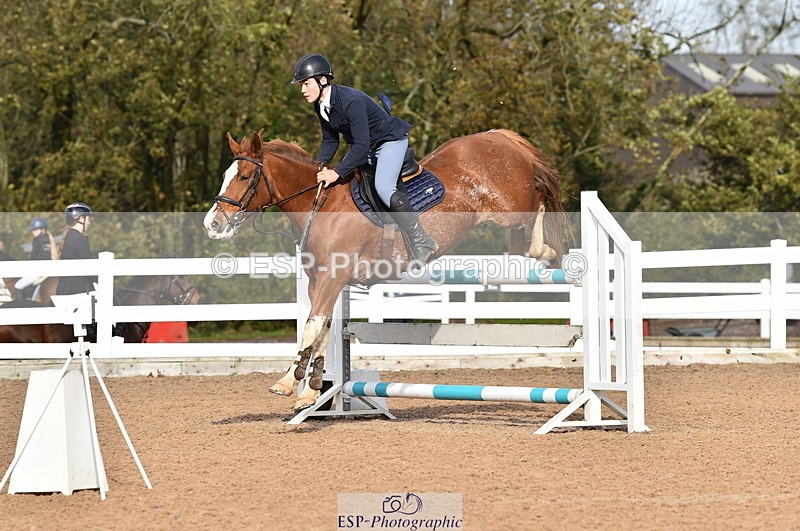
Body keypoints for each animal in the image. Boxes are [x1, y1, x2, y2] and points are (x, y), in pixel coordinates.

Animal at [203, 129, 566, 411]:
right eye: (224, 176)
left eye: (245, 177)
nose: (213, 224)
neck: (322, 205)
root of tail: (499, 137)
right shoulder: (319, 281)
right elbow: (323, 330)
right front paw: (311, 392)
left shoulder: (333, 278)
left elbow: (311, 327)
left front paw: (287, 383)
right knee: (520, 240)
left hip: (510, 206)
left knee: (539, 200)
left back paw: (548, 252)